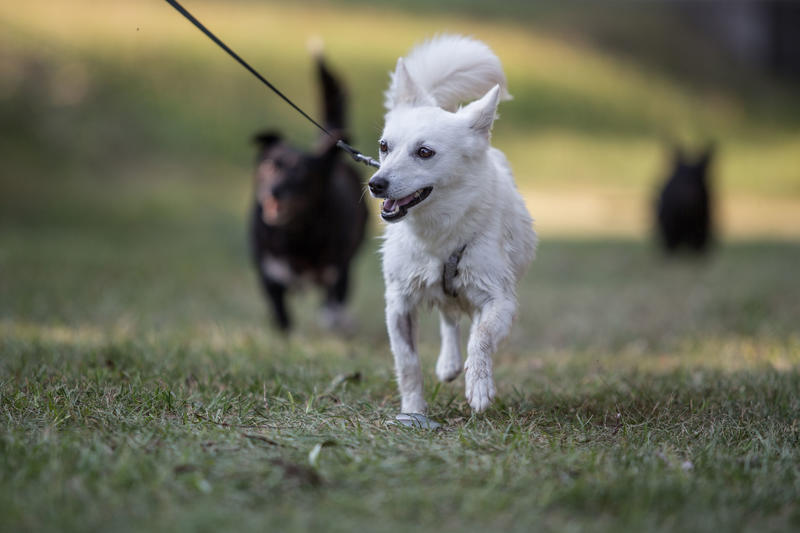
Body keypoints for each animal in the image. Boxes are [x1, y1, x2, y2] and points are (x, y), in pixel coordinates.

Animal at [250, 51, 368, 333]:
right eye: (269, 166)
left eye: (302, 173)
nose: (273, 191)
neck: (295, 234)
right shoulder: (269, 274)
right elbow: (281, 316)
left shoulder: (337, 272)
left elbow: (333, 306)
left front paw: (334, 322)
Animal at [367, 35, 537, 414]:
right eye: (384, 147)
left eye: (424, 152)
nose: (376, 183)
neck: (437, 233)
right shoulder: (398, 305)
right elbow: (408, 364)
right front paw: (413, 411)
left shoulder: (499, 300)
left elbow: (482, 338)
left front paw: (479, 386)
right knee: (449, 317)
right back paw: (448, 363)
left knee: (464, 321)